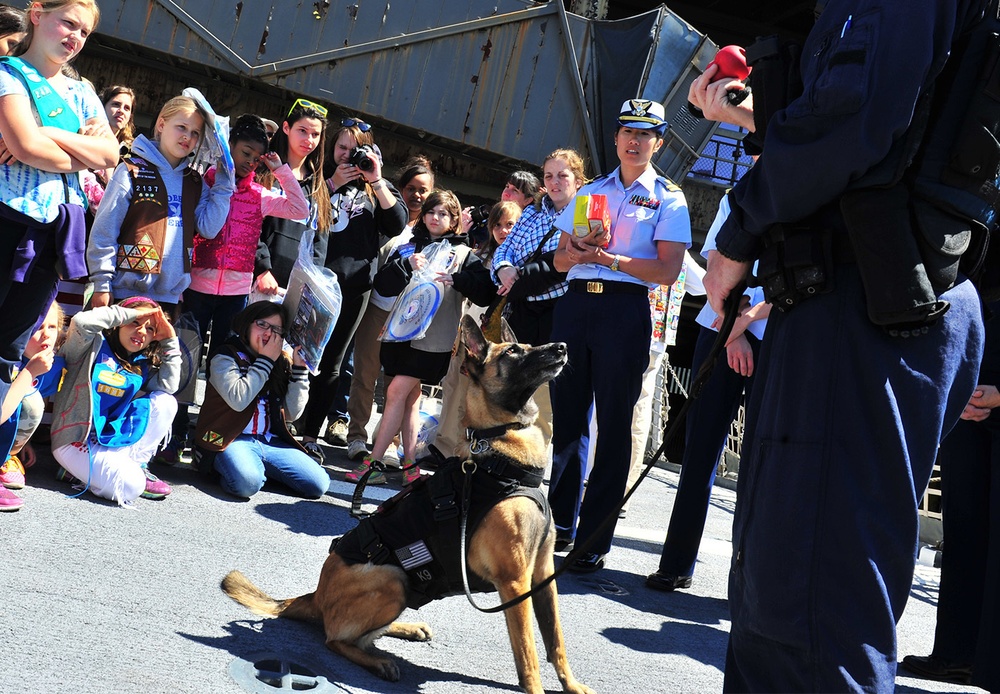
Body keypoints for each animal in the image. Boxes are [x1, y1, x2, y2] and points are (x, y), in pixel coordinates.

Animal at [223, 318, 588, 692]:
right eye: (513, 351)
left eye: (528, 345)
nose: (561, 347)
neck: (500, 459)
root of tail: (316, 595)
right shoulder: (516, 582)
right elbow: (529, 654)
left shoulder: (543, 576)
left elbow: (555, 641)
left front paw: (573, 685)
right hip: (392, 579)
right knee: (335, 638)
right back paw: (379, 661)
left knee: (361, 632)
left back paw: (407, 629)